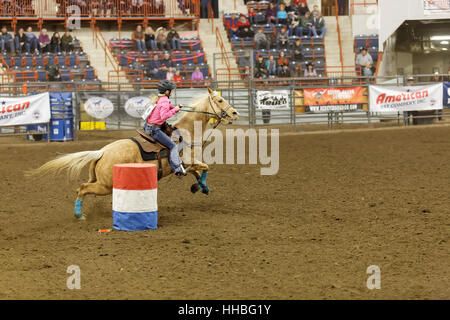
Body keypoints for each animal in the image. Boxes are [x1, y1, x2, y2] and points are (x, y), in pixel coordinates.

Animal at [27, 88, 239, 220]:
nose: (235, 113)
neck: (186, 131)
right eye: (220, 100)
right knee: (82, 189)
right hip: (105, 186)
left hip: (100, 181)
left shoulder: (188, 164)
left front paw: (201, 187)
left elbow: (199, 173)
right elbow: (206, 168)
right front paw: (200, 187)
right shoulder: (187, 161)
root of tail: (101, 152)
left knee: (82, 187)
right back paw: (79, 216)